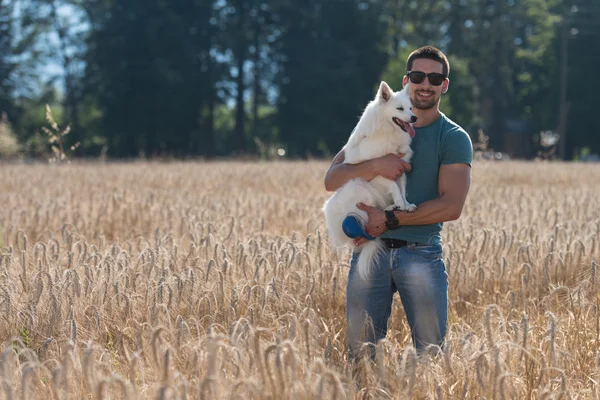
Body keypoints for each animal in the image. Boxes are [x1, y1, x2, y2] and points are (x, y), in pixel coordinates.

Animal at [324, 80, 418, 282]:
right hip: (358, 185)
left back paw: (390, 207)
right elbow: (394, 187)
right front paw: (400, 203)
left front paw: (405, 205)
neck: (388, 132)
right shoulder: (382, 171)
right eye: (399, 109)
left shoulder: (401, 169)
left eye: (411, 108)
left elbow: (402, 189)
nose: (414, 118)